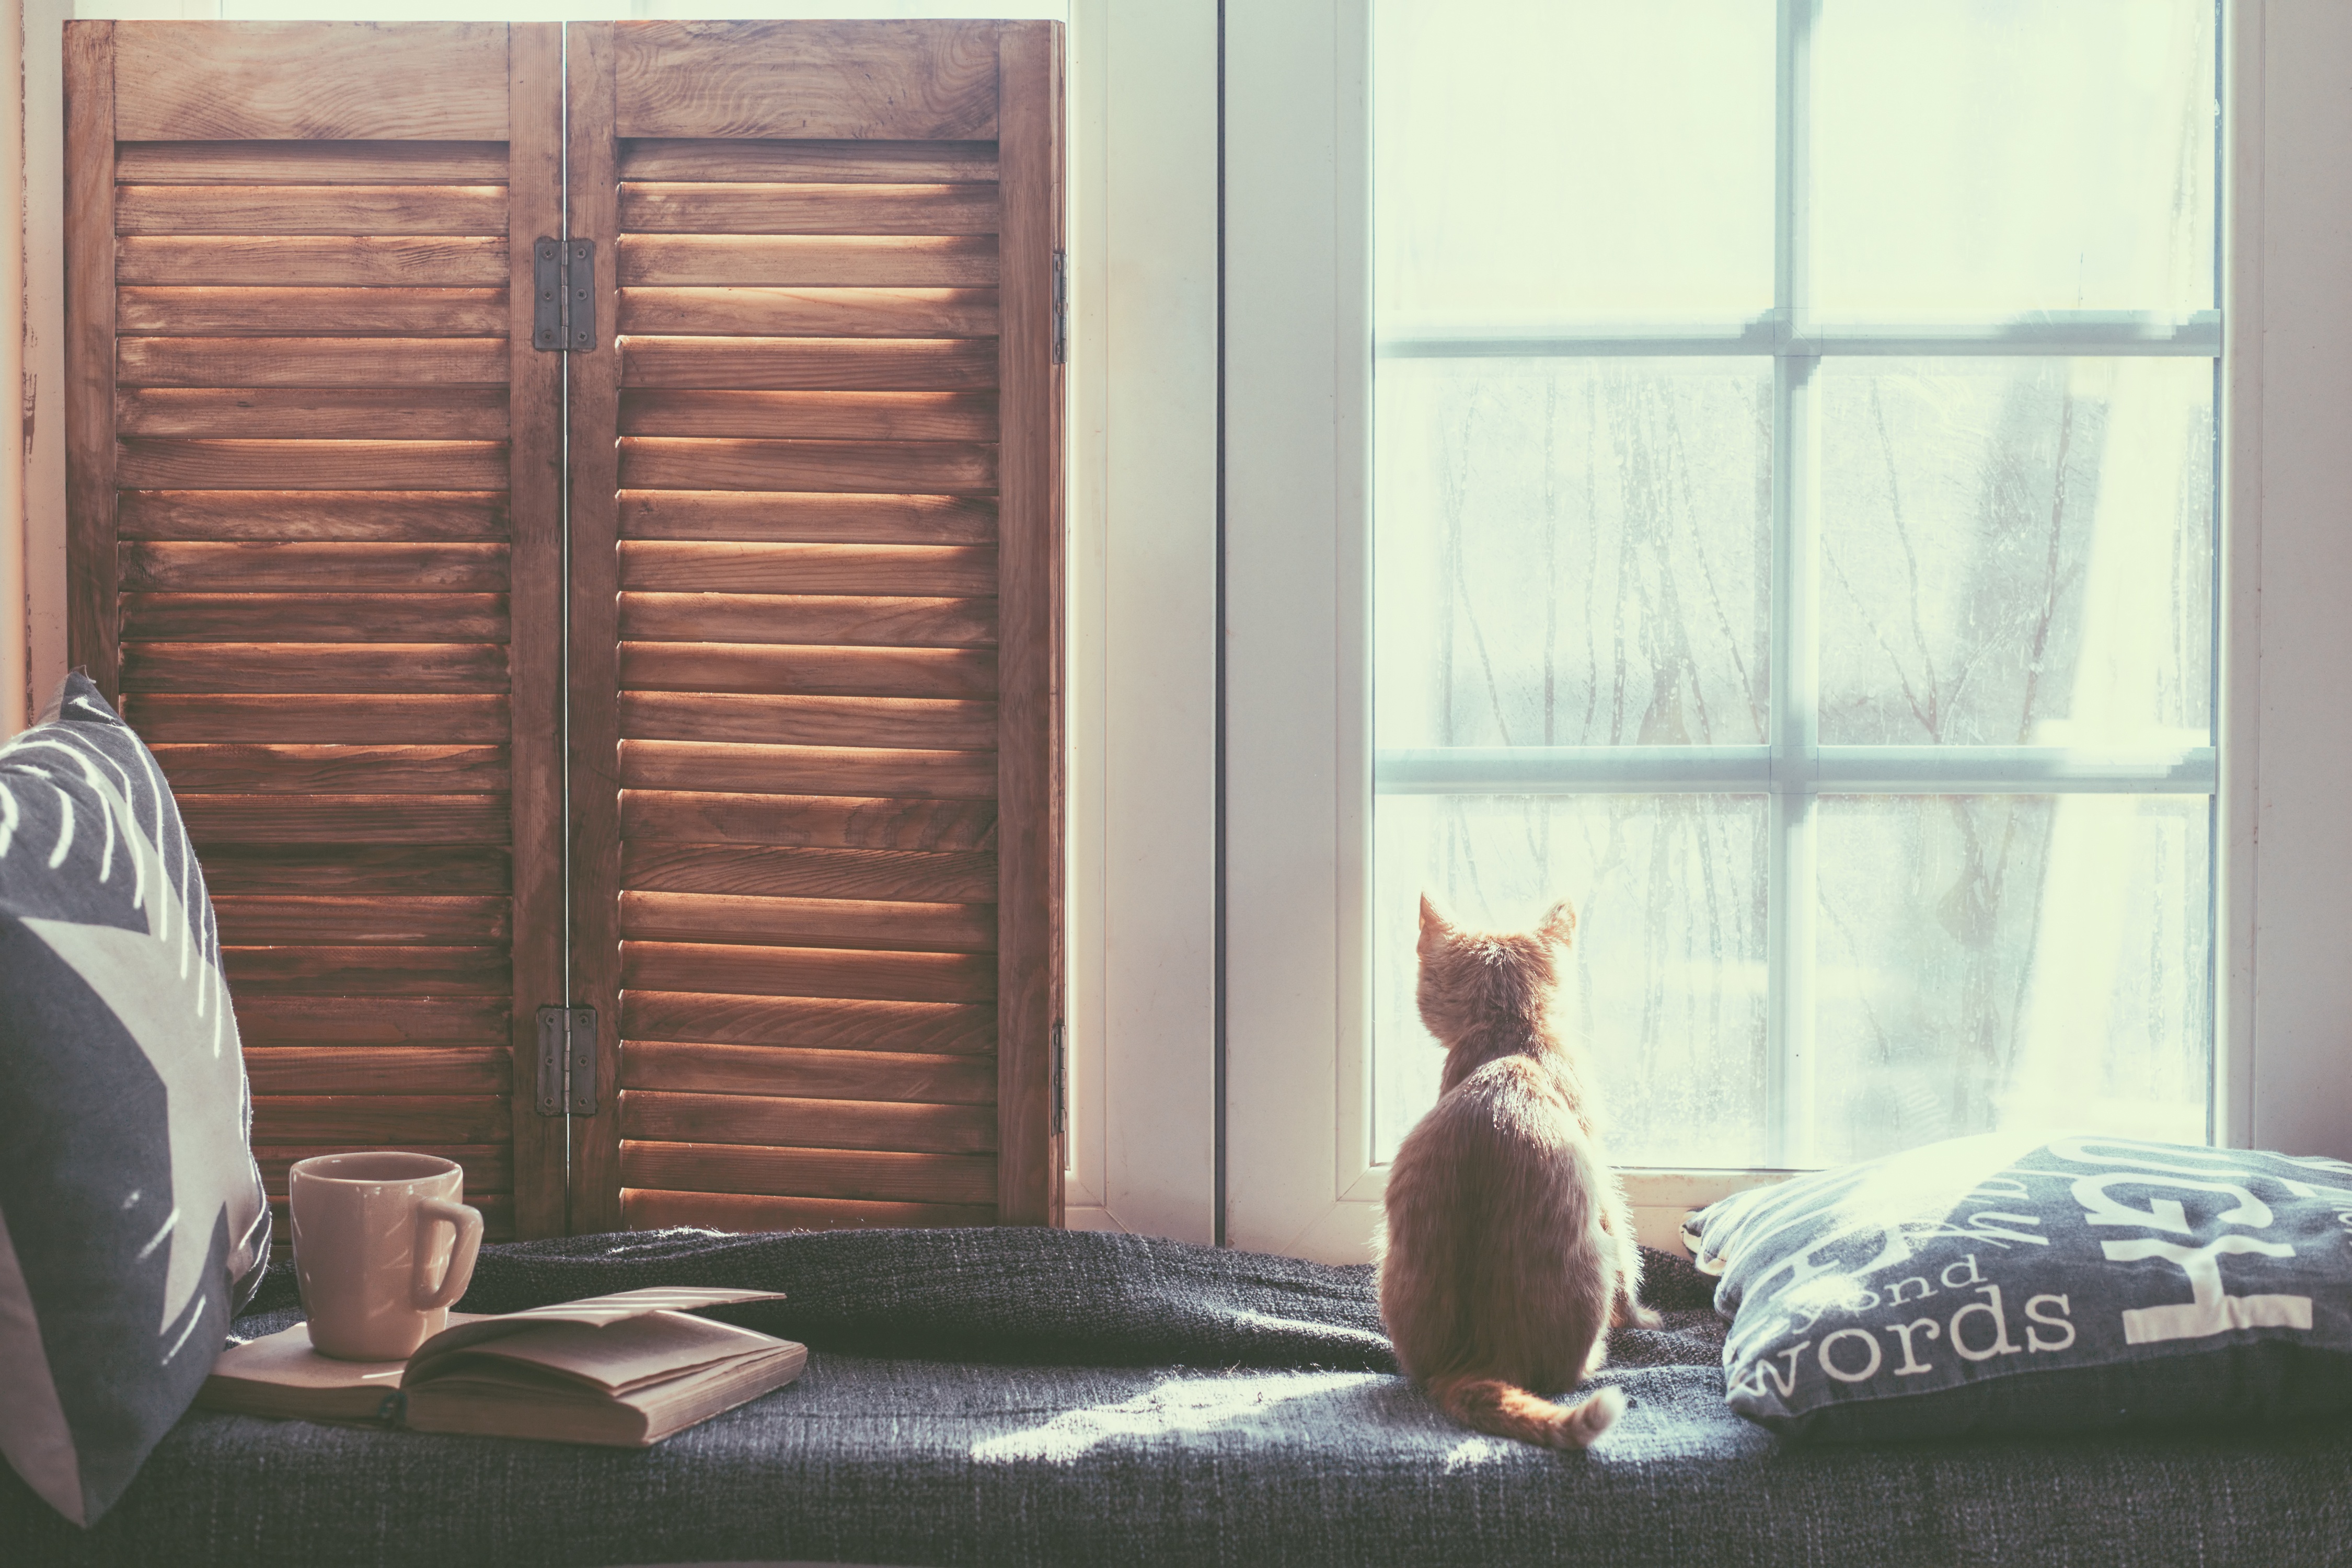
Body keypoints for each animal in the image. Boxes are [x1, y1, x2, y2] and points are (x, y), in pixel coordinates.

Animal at [1374, 893, 1656, 1448]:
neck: (1510, 1036)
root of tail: (1479, 1360)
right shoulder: (1602, 1176)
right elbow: (1629, 1261)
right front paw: (1644, 1319)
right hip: (1593, 1261)